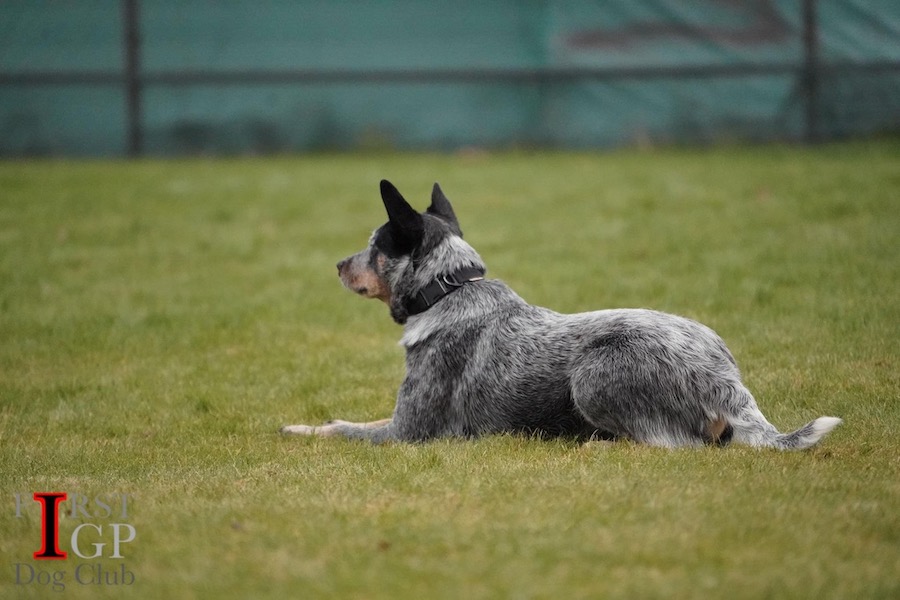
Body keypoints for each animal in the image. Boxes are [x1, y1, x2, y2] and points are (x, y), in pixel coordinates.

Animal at [278, 180, 840, 448]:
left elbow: (340, 430)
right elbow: (349, 418)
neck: (448, 290)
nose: (337, 264)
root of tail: (726, 381)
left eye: (374, 245)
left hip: (592, 376)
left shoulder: (408, 433)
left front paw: (300, 431)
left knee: (675, 444)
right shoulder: (396, 420)